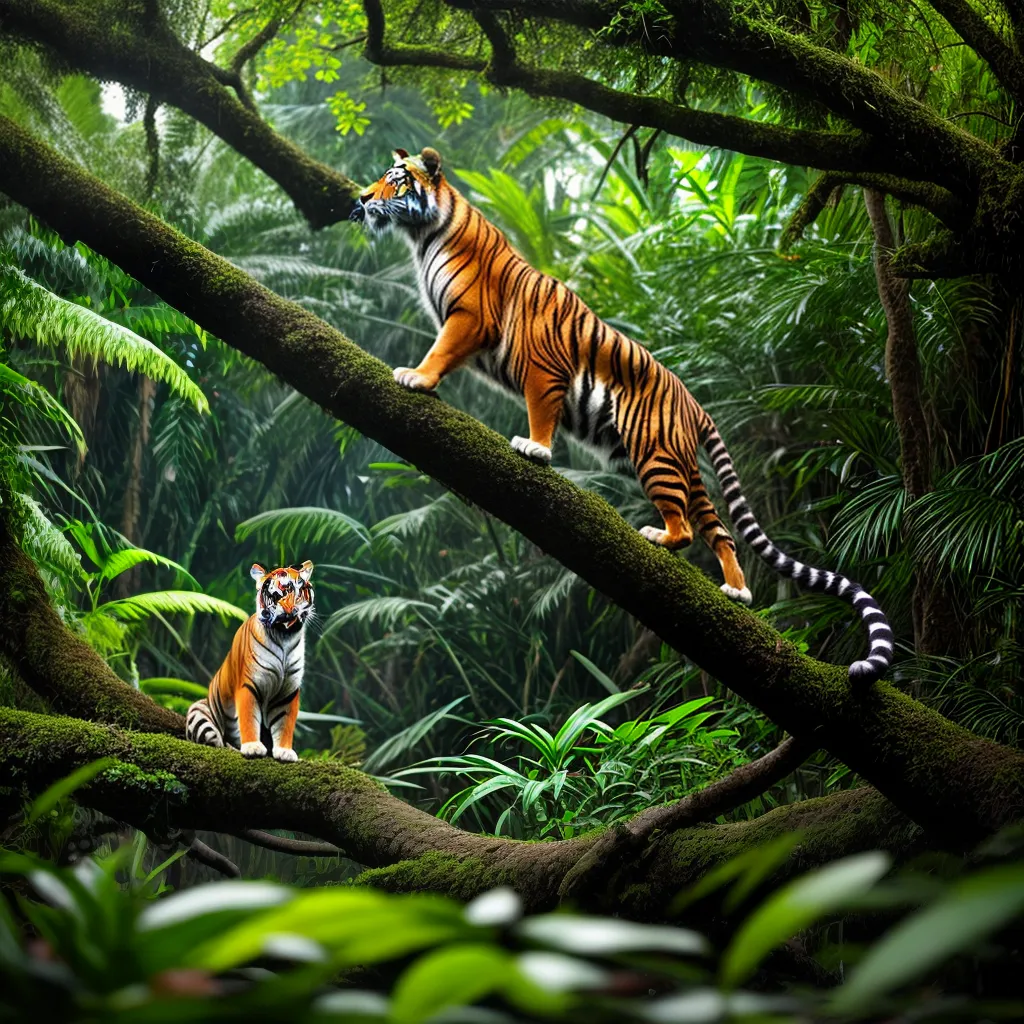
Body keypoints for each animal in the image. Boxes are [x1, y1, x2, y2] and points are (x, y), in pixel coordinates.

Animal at [185, 561, 314, 761]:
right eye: (276, 594)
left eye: (298, 591)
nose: (288, 611)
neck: (284, 637)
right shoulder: (248, 684)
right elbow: (248, 718)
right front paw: (253, 747)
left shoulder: (289, 690)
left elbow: (285, 722)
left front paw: (284, 750)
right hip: (199, 711)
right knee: (217, 742)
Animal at [349, 147, 894, 685]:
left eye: (395, 180)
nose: (361, 198)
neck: (424, 236)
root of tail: (694, 402)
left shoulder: (488, 330)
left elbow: (459, 363)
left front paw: (507, 432)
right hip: (681, 464)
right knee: (719, 530)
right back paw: (736, 591)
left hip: (654, 454)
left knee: (686, 530)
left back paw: (658, 536)